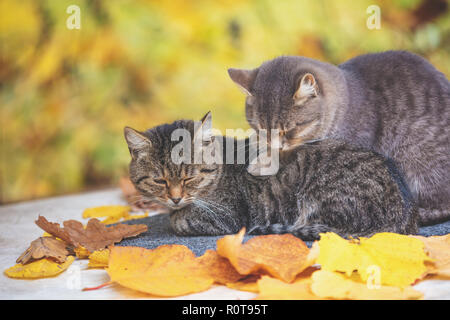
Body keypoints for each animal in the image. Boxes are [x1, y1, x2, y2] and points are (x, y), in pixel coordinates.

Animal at [123, 112, 418, 240]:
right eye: (160, 181)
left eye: (189, 178)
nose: (174, 198)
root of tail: (404, 217)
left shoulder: (227, 217)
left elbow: (180, 220)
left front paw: (176, 216)